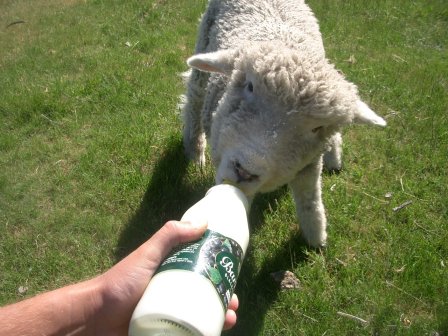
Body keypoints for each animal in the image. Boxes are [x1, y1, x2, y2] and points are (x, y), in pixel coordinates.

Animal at [179, 0, 384, 247]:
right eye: (249, 86)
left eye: (316, 128)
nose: (245, 170)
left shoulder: (308, 163)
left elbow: (310, 201)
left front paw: (316, 238)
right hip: (204, 43)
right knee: (194, 98)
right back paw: (194, 151)